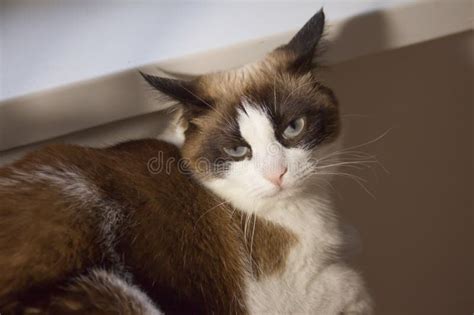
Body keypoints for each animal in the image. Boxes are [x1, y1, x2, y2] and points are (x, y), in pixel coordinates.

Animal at [0, 8, 372, 314]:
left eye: (293, 128)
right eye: (237, 151)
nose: (277, 175)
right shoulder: (278, 296)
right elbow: (353, 283)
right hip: (112, 293)